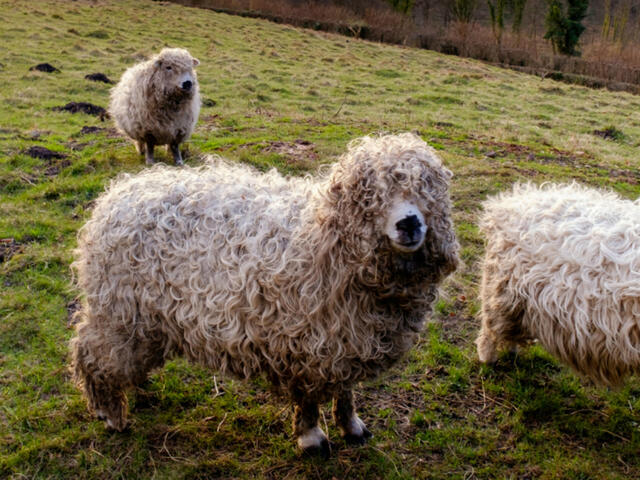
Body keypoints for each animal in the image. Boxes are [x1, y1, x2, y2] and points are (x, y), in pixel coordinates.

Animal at [69, 133, 460, 456]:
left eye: (428, 188)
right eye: (369, 194)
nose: (409, 223)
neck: (326, 242)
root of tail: (117, 195)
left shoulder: (343, 341)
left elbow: (345, 389)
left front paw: (352, 427)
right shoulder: (303, 344)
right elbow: (307, 398)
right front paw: (312, 439)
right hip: (119, 312)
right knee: (91, 351)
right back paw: (109, 413)